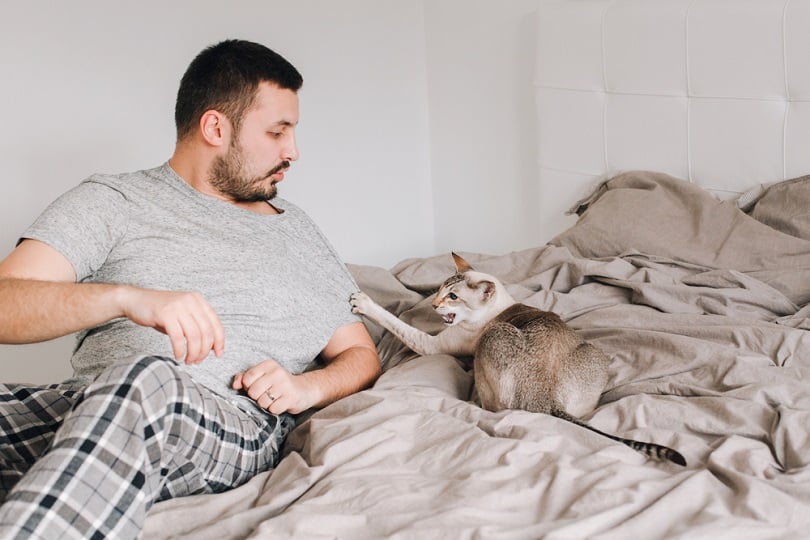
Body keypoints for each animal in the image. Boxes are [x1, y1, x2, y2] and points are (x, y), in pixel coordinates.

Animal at [350, 251, 684, 466]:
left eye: (453, 297)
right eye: (441, 289)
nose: (433, 304)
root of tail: (547, 398)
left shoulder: (433, 343)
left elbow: (398, 323)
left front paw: (363, 302)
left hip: (492, 339)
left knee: (492, 405)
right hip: (592, 351)